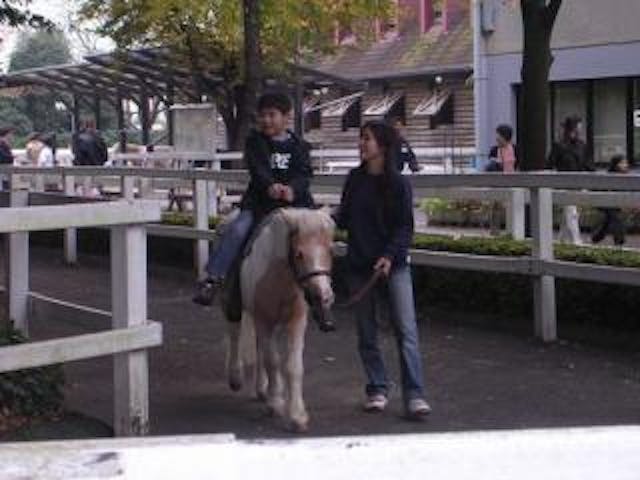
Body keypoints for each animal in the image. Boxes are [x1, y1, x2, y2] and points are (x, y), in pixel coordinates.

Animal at [225, 208, 336, 434]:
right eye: (299, 254)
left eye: (330, 250)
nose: (324, 296)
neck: (280, 277)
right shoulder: (264, 320)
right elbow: (273, 361)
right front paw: (275, 403)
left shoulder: (296, 323)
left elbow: (293, 366)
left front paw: (297, 416)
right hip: (238, 308)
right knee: (235, 333)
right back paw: (236, 378)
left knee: (259, 347)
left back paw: (261, 389)